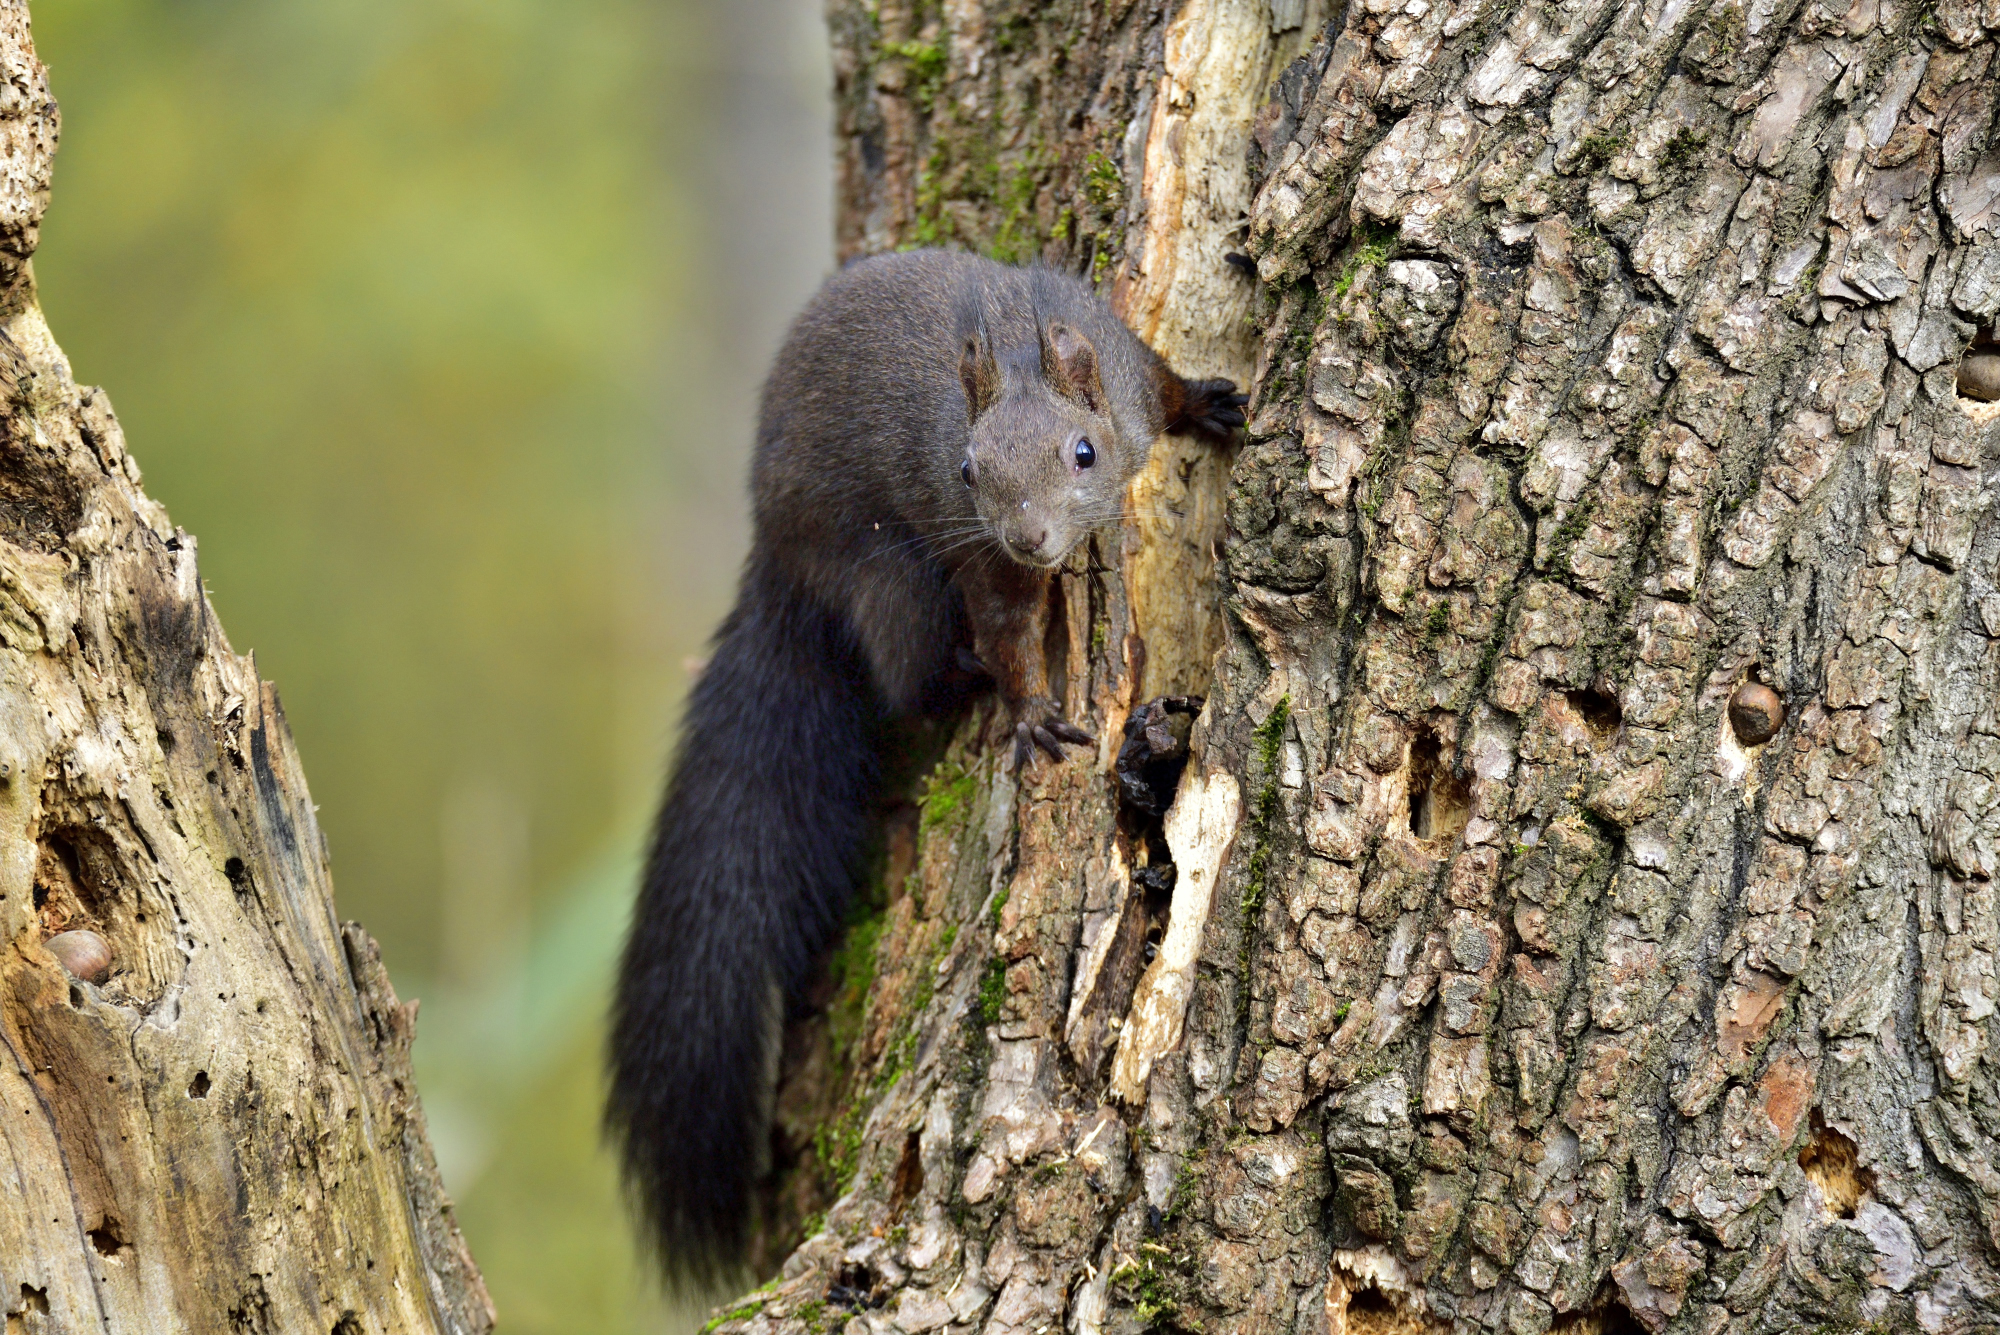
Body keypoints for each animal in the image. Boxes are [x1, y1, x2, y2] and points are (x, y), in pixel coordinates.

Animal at [606, 248, 1244, 1282]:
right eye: (969, 469)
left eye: (1084, 452)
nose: (1030, 536)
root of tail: (775, 559)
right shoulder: (970, 542)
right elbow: (1010, 631)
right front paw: (1030, 710)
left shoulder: (1122, 368)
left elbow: (1164, 383)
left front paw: (1215, 403)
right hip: (887, 578)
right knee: (910, 678)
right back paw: (968, 682)